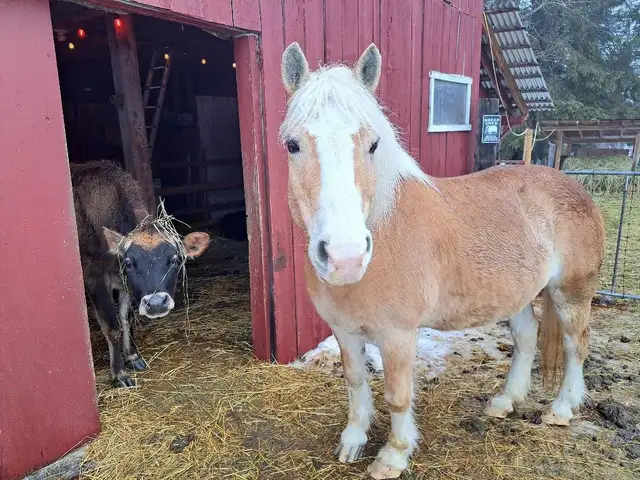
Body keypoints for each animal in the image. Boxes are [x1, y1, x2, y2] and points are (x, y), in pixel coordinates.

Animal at [279, 42, 605, 479]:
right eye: (292, 145)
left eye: (373, 144)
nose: (346, 256)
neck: (386, 232)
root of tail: (576, 187)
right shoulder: (344, 330)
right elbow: (355, 381)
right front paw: (353, 439)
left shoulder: (398, 335)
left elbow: (397, 395)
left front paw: (394, 455)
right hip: (519, 294)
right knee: (526, 338)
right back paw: (505, 402)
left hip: (571, 293)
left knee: (576, 345)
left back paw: (563, 409)